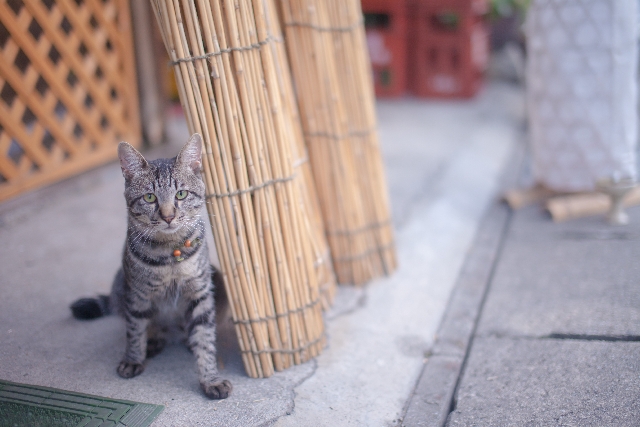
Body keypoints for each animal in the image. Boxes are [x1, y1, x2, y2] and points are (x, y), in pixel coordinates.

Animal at [71, 135, 231, 402]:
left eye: (181, 194)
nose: (168, 216)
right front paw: (133, 359)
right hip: (121, 285)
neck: (170, 256)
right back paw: (154, 340)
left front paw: (210, 379)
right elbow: (135, 331)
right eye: (149, 198)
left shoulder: (200, 293)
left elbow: (205, 340)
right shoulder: (137, 295)